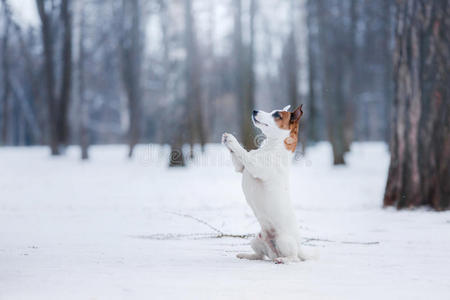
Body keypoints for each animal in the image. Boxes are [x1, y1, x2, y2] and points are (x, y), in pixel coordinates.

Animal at [221, 104, 312, 264]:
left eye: (277, 115)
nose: (254, 110)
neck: (271, 147)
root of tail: (300, 247)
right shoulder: (240, 167)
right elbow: (238, 157)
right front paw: (226, 138)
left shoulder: (257, 168)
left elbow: (244, 152)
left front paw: (232, 140)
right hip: (256, 240)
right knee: (260, 255)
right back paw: (246, 255)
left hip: (284, 241)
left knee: (294, 258)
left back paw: (283, 259)